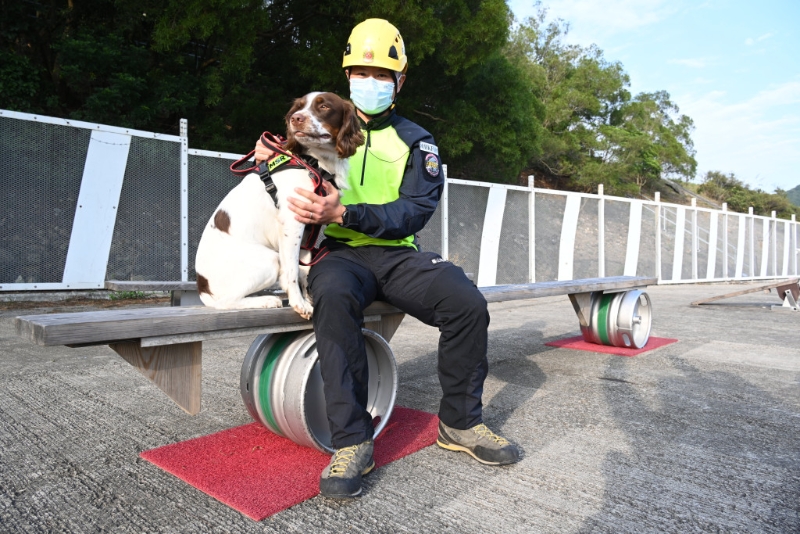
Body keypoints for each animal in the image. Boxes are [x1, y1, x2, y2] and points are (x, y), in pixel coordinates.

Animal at [195, 92, 364, 318]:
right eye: (298, 107)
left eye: (324, 106)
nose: (296, 119)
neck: (312, 162)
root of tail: (202, 286)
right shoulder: (292, 222)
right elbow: (292, 269)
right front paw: (299, 303)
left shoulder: (308, 226)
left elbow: (304, 269)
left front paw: (307, 298)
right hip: (269, 260)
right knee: (225, 302)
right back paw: (266, 300)